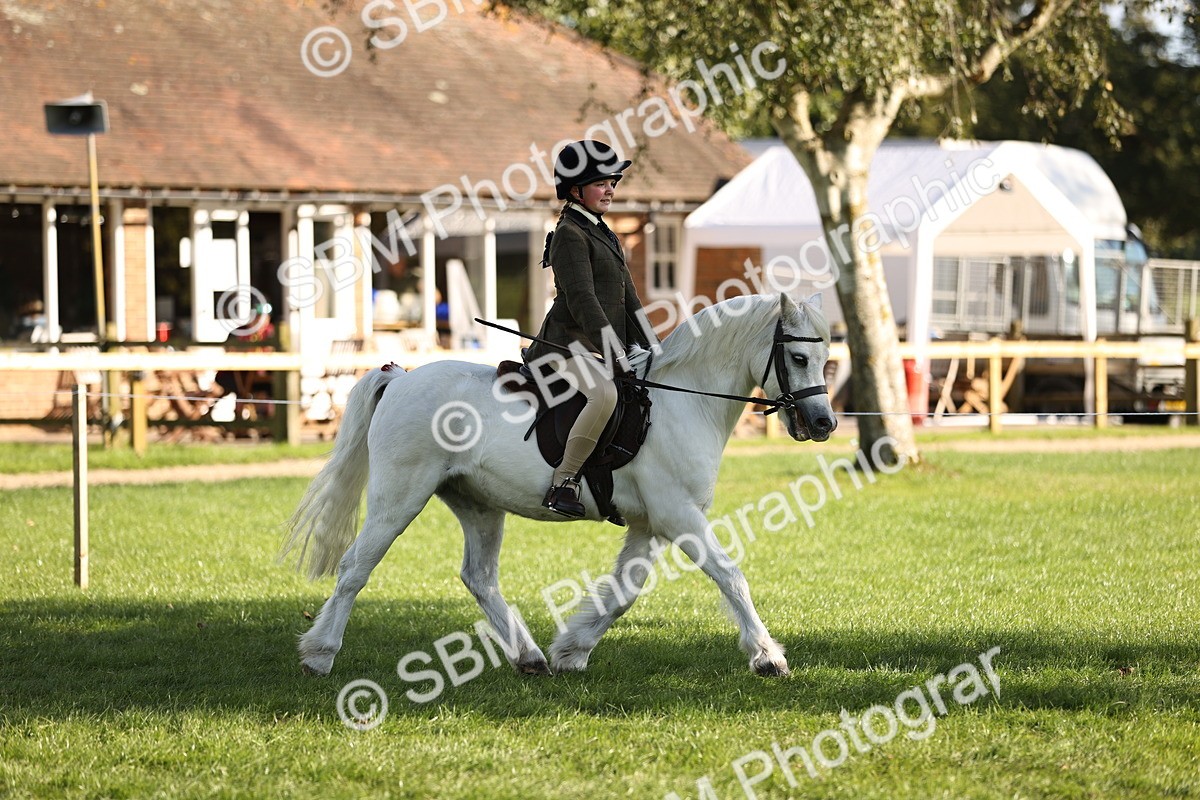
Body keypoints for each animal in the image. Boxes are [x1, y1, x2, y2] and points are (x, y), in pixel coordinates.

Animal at [283, 292, 836, 678]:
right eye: (800, 359)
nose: (825, 423)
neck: (685, 400)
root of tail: (399, 378)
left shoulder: (650, 524)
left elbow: (625, 592)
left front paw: (572, 649)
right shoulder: (678, 515)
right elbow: (730, 575)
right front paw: (767, 657)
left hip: (478, 504)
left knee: (479, 577)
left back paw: (529, 657)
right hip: (398, 498)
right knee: (355, 567)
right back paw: (319, 655)